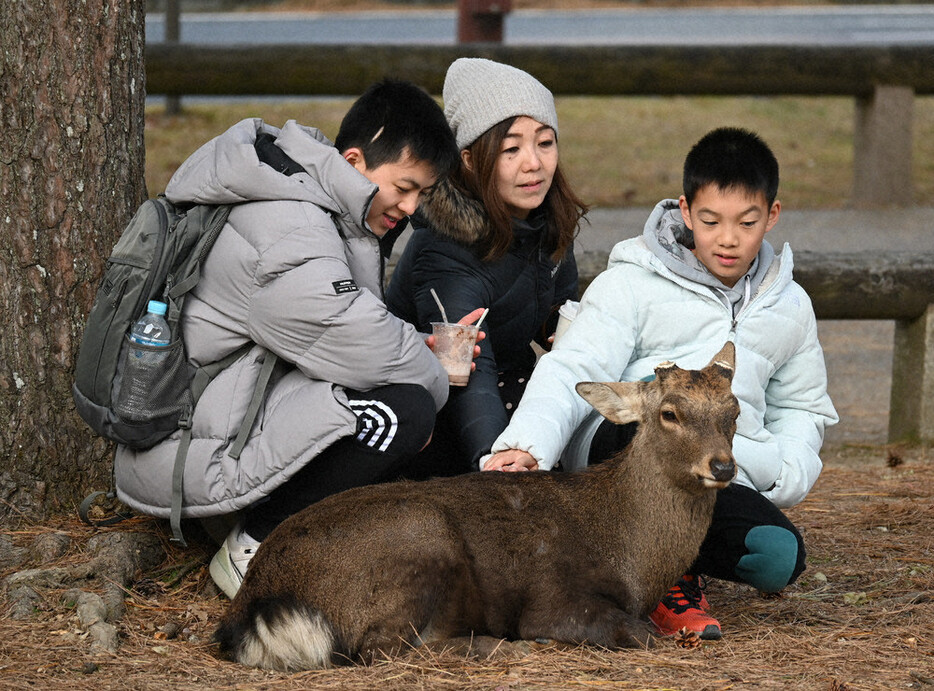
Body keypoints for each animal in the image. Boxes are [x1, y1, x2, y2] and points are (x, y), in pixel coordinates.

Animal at [216, 342, 744, 672]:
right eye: (669, 413)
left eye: (734, 412)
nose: (722, 466)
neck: (631, 557)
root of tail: (253, 606)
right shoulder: (552, 598)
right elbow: (641, 632)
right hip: (418, 540)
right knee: (380, 650)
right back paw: (499, 648)